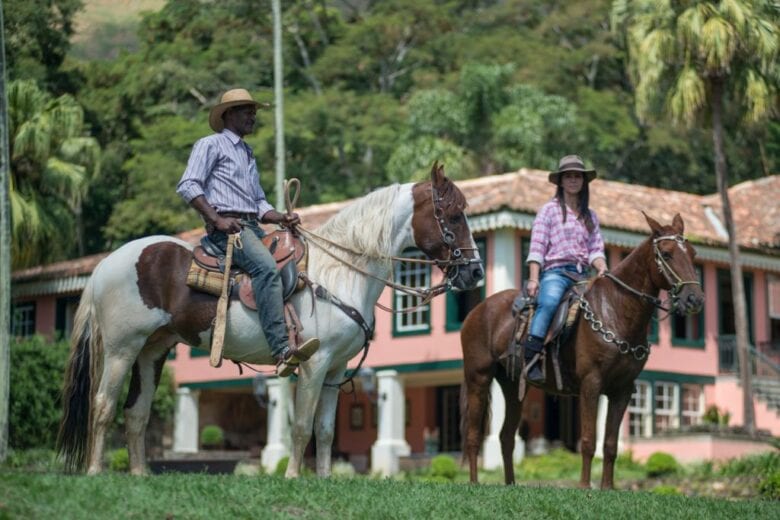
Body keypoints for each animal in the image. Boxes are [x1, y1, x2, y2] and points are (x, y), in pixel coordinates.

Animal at [58, 162, 482, 476]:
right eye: (454, 215)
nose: (475, 272)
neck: (341, 275)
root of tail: (104, 265)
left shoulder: (336, 369)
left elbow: (325, 430)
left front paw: (325, 479)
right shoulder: (314, 363)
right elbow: (302, 426)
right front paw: (294, 477)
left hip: (152, 351)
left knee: (136, 413)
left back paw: (140, 474)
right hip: (121, 348)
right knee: (102, 405)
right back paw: (95, 471)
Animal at [460, 213, 704, 490]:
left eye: (693, 254)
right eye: (667, 253)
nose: (695, 299)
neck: (616, 311)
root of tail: (476, 312)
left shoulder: (622, 390)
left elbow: (610, 445)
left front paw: (608, 488)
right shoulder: (591, 384)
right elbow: (588, 440)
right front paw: (585, 487)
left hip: (513, 387)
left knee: (506, 437)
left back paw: (511, 484)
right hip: (479, 378)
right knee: (473, 435)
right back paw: (474, 482)